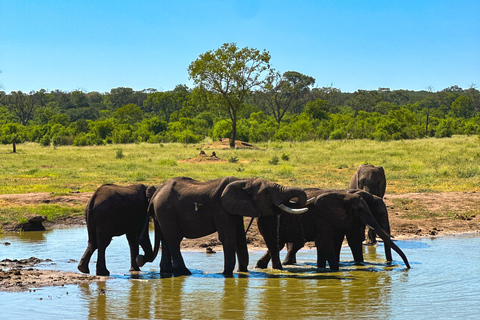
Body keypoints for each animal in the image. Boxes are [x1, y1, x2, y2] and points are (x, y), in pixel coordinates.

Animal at [144, 176, 308, 276]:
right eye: (267, 192)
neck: (244, 181)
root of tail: (155, 195)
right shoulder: (221, 209)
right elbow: (229, 237)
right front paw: (226, 274)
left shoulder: (235, 210)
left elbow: (240, 237)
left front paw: (242, 272)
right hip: (165, 210)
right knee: (173, 240)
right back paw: (185, 272)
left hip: (162, 213)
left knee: (165, 240)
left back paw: (167, 272)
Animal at [255, 189, 408, 272]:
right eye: (361, 210)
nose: (407, 267)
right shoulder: (325, 218)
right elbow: (330, 243)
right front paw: (335, 269)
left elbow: (336, 242)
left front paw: (323, 268)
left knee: (279, 245)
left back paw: (262, 266)